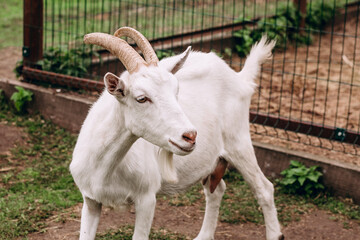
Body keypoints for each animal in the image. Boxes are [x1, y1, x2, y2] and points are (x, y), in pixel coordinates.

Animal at [69, 26, 284, 240]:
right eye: (141, 98)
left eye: (176, 91)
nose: (190, 136)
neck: (105, 169)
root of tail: (240, 78)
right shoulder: (90, 200)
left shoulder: (146, 198)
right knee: (216, 189)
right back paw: (204, 235)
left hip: (238, 141)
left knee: (264, 188)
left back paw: (275, 234)